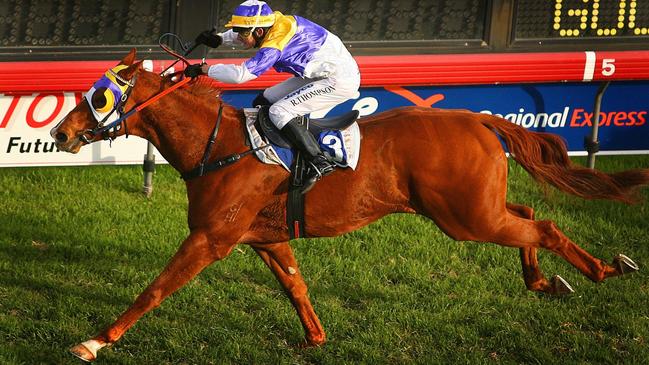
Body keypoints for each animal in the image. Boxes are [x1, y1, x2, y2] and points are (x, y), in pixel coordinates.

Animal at [49, 49, 644, 362]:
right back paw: (544, 279)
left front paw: (95, 341)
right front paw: (315, 336)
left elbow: (154, 289)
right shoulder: (266, 238)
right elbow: (295, 285)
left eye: (99, 96)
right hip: (474, 209)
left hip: (465, 219)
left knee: (543, 225)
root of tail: (477, 118)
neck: (220, 148)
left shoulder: (210, 239)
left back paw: (602, 268)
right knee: (526, 215)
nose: (60, 132)